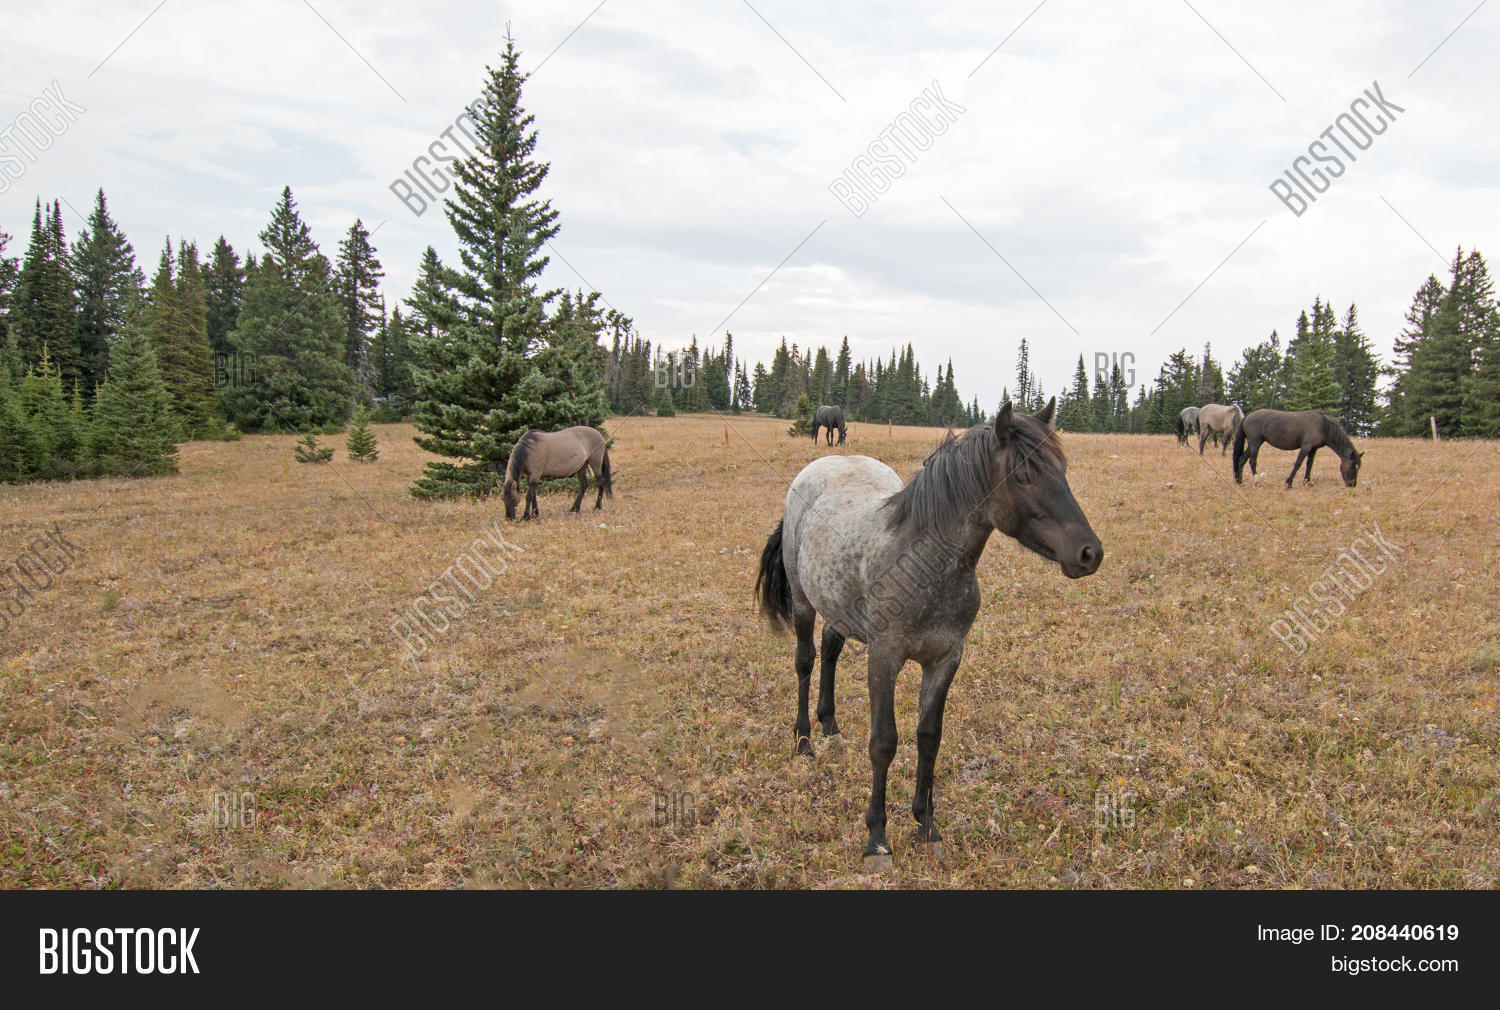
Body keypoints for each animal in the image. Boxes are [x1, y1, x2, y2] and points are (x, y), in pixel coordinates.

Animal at [754, 398, 1102, 871]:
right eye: (1024, 475)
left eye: (1062, 470)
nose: (1090, 553)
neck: (924, 564)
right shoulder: (884, 658)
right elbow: (884, 743)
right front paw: (877, 839)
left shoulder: (945, 659)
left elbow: (928, 738)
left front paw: (926, 825)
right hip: (805, 602)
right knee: (806, 660)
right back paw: (805, 739)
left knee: (829, 649)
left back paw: (830, 728)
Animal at [1233, 409, 1363, 488]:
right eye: (1353, 467)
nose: (1352, 485)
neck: (1323, 426)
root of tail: (1246, 418)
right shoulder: (1306, 447)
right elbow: (1298, 463)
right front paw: (1289, 483)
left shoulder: (1313, 449)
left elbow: (1309, 465)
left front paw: (1308, 482)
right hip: (1255, 443)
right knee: (1252, 461)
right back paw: (1257, 482)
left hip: (1252, 444)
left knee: (1242, 459)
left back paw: (1239, 482)